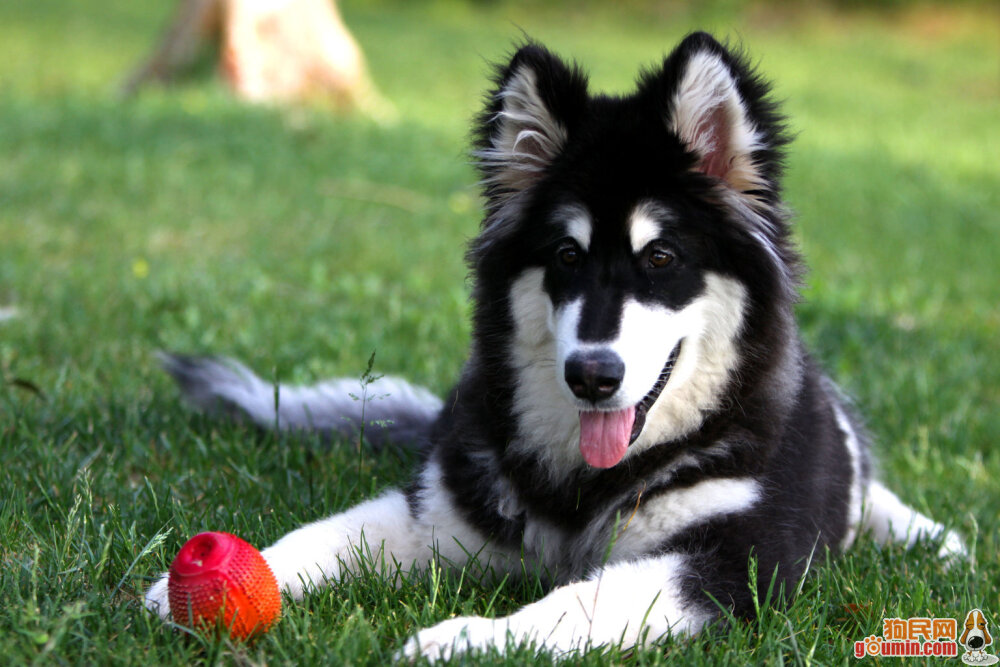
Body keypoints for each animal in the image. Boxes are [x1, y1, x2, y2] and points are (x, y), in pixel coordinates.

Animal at [145, 34, 964, 660]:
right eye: (566, 257)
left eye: (661, 258)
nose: (592, 376)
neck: (591, 482)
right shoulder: (443, 513)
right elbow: (328, 534)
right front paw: (188, 586)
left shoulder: (734, 560)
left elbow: (581, 601)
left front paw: (466, 637)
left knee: (864, 482)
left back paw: (928, 536)